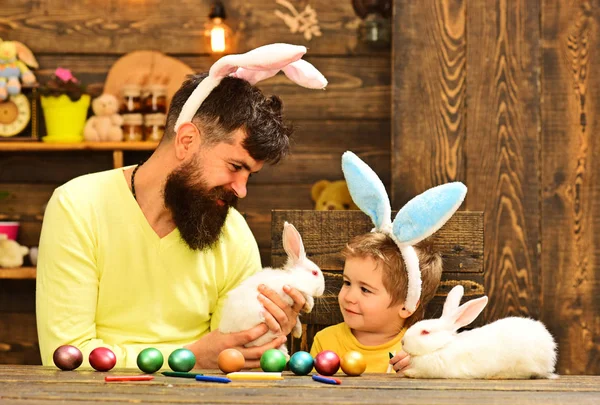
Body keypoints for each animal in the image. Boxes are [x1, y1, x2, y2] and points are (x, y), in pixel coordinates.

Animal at [219, 221, 326, 356]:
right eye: (315, 273)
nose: (322, 290)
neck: (293, 277)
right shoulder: (288, 289)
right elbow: (305, 294)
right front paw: (309, 305)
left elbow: (296, 317)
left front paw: (298, 331)